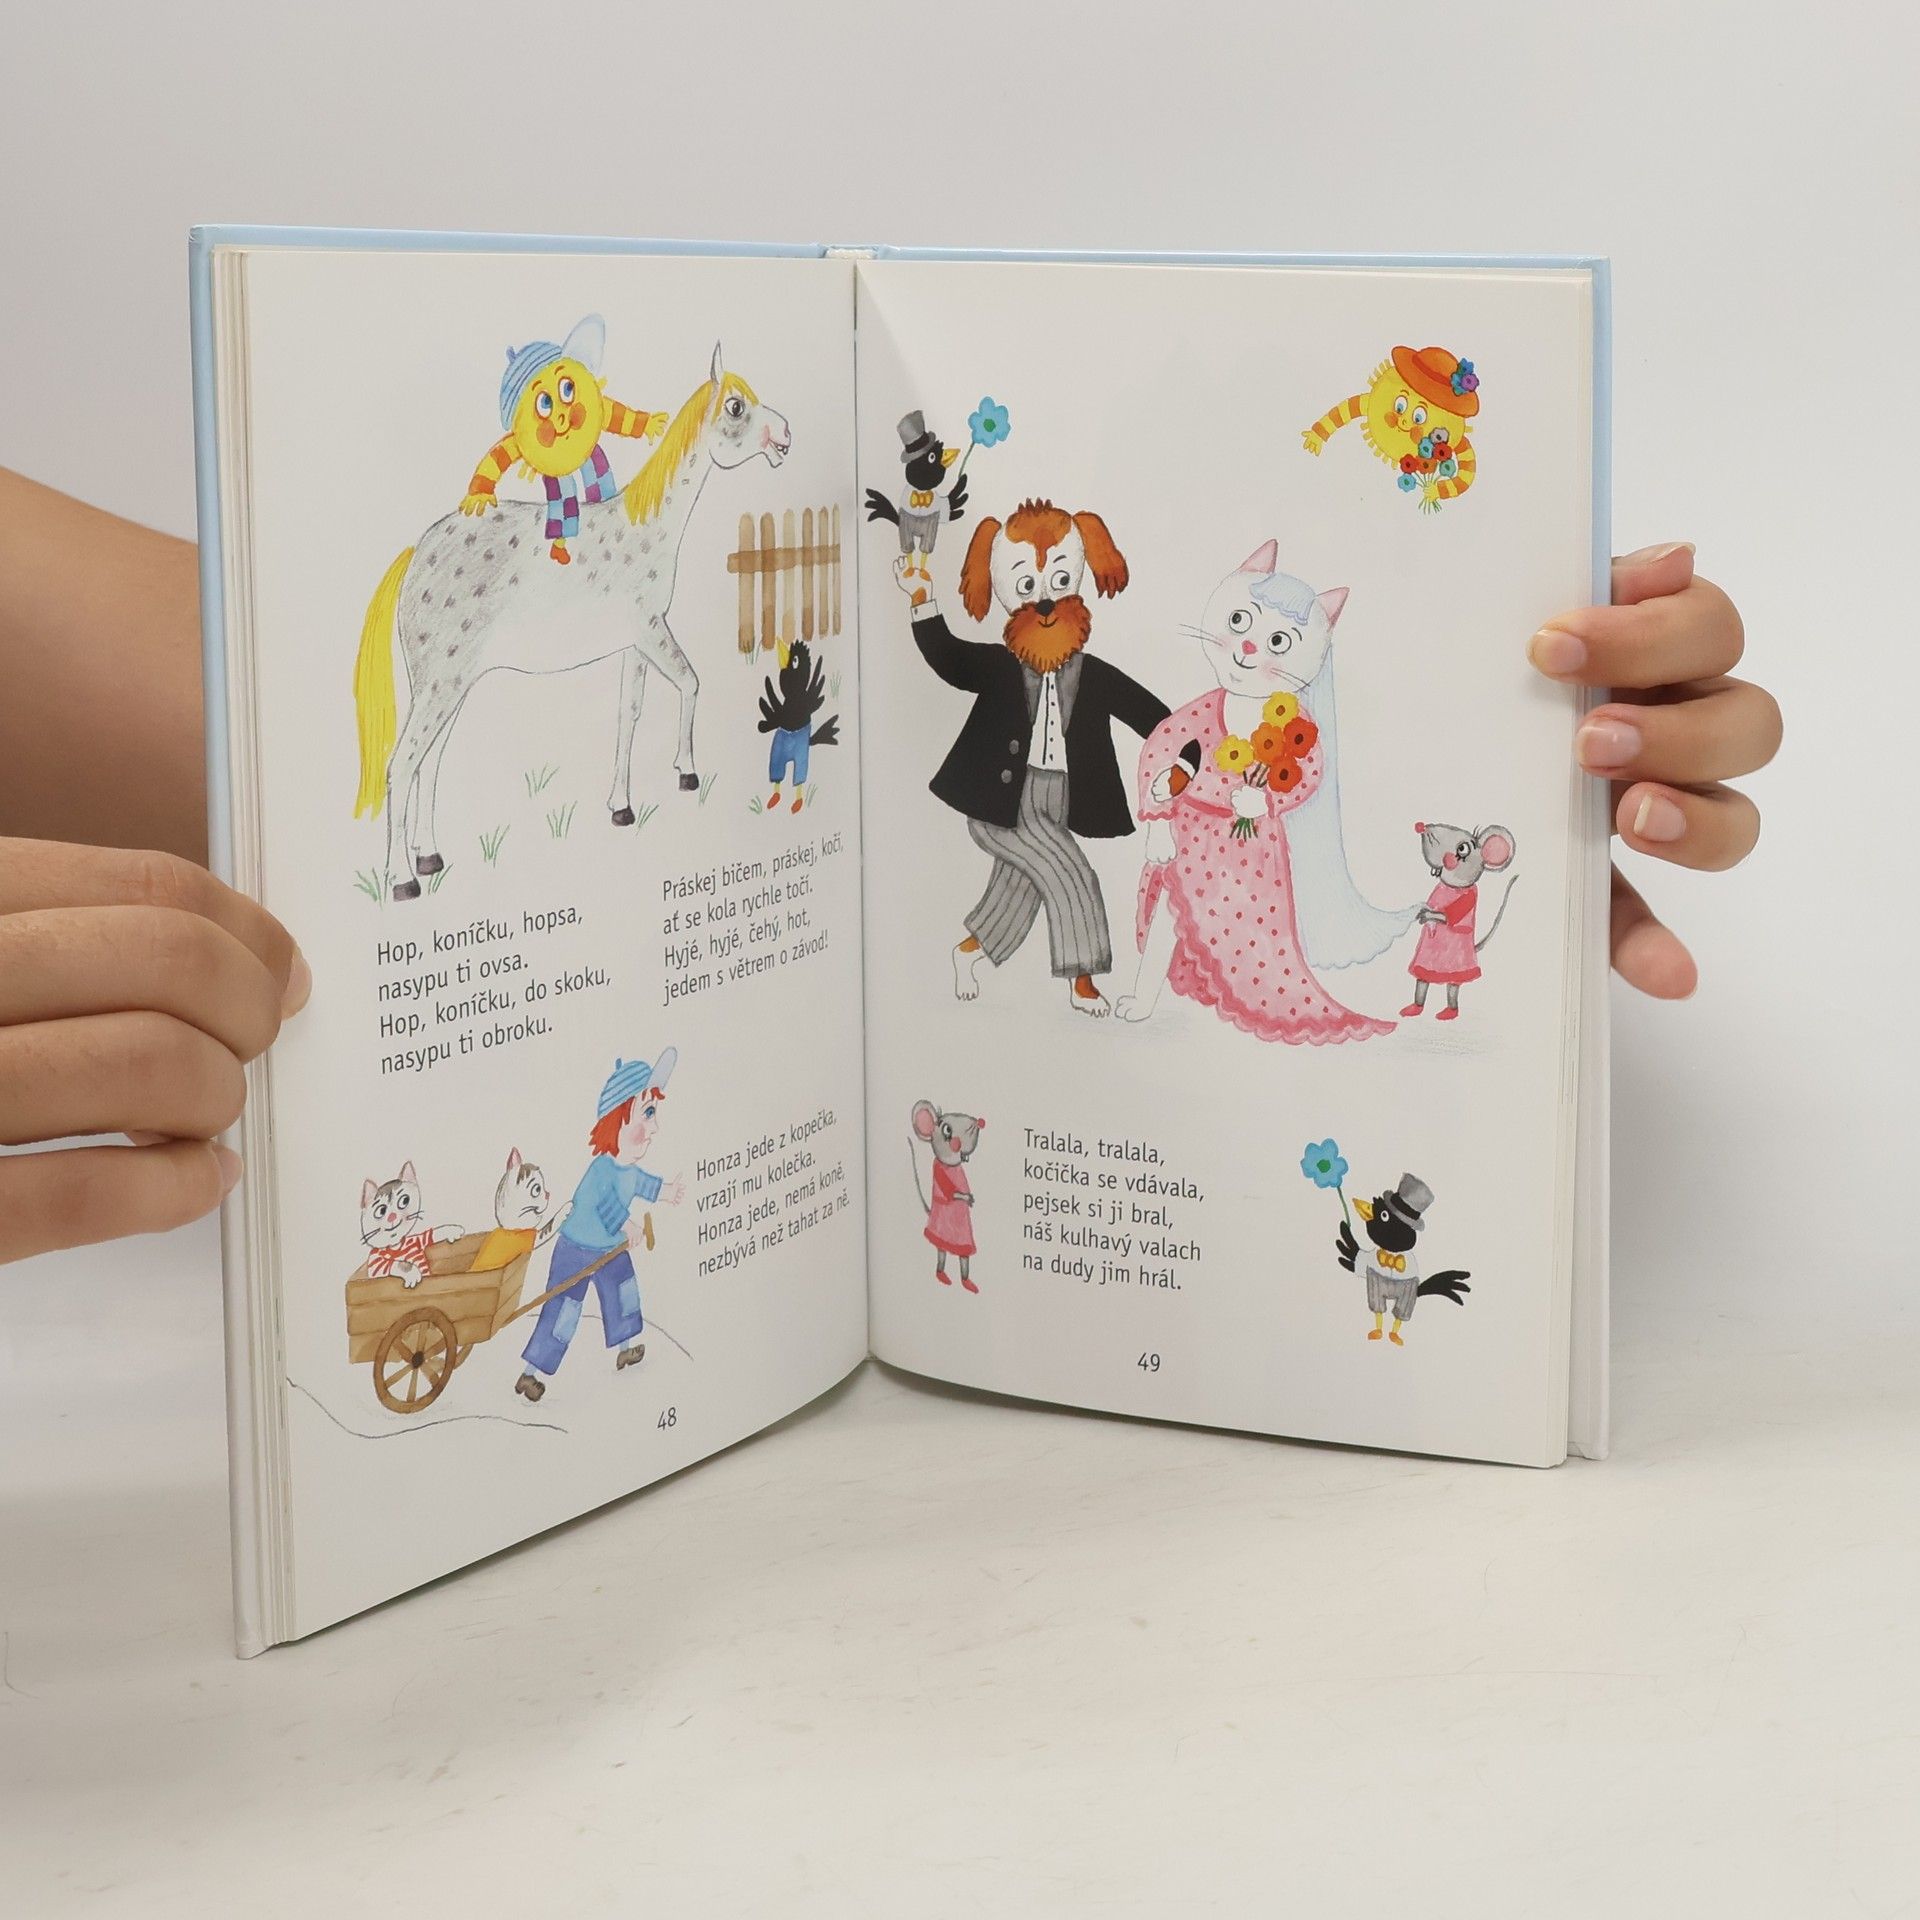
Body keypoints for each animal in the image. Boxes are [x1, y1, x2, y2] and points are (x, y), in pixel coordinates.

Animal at [352, 343, 791, 900]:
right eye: (735, 407)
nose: (786, 436)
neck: (648, 526)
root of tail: (415, 554)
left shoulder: (633, 644)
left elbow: (629, 713)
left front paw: (621, 807)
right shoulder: (651, 629)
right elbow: (691, 683)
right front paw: (686, 773)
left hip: (452, 685)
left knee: (428, 764)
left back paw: (429, 858)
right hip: (439, 685)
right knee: (403, 762)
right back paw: (403, 881)